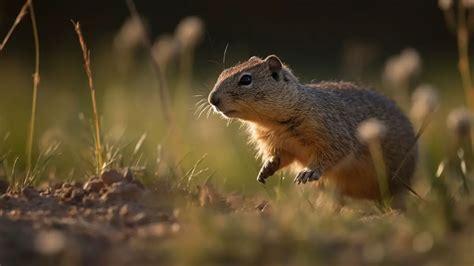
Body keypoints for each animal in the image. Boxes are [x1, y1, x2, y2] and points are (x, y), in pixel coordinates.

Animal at [209, 54, 416, 200]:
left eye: (246, 79)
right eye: (222, 73)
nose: (212, 99)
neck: (273, 124)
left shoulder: (331, 133)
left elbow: (333, 154)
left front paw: (309, 172)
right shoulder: (278, 145)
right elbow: (280, 157)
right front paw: (266, 168)